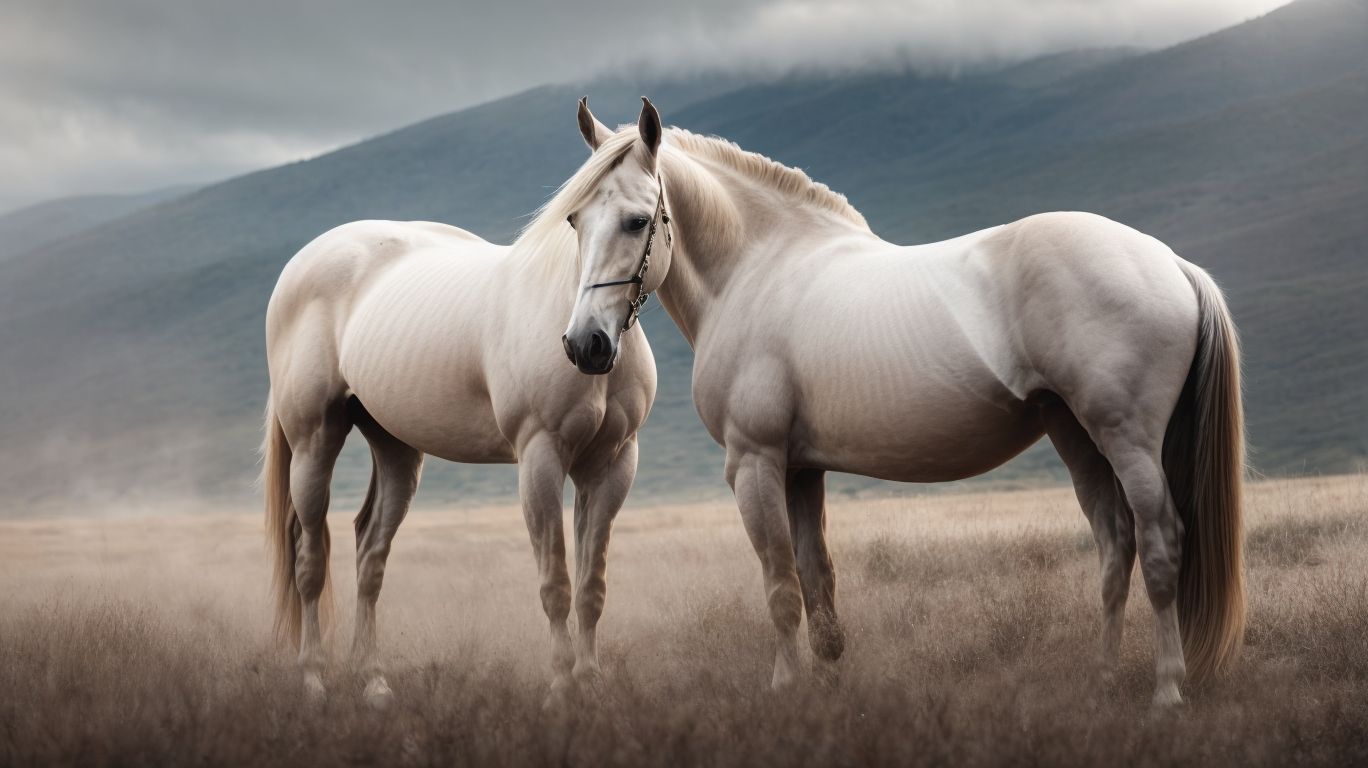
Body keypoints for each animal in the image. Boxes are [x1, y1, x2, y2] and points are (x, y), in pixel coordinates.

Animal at [261, 193, 656, 705]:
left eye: (638, 222)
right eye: (577, 224)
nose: (589, 345)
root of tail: (300, 265)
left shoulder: (612, 464)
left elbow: (591, 586)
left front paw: (590, 684)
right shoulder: (540, 456)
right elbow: (556, 582)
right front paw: (560, 688)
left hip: (396, 449)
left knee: (369, 555)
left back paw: (374, 682)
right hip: (313, 441)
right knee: (310, 560)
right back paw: (313, 679)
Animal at [548, 98, 1244, 707]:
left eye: (638, 221)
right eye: (576, 221)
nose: (585, 345)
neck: (756, 269)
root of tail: (1172, 264)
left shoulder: (755, 463)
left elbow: (780, 585)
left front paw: (785, 687)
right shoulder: (802, 470)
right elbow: (817, 580)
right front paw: (830, 682)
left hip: (1126, 440)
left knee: (1160, 545)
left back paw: (1167, 689)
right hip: (1076, 437)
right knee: (1115, 547)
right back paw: (1102, 678)